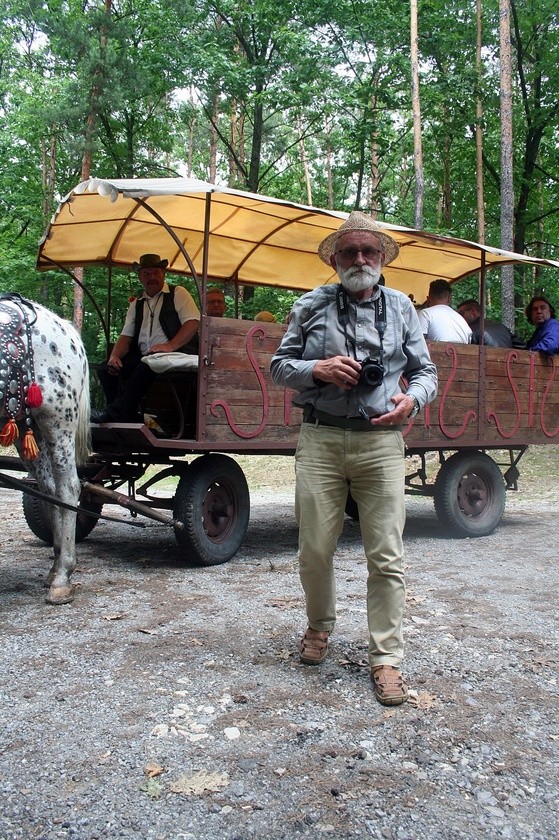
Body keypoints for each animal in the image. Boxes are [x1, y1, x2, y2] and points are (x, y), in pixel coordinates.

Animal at [0, 296, 89, 604]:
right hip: (27, 426)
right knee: (49, 489)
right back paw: (55, 565)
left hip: (58, 420)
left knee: (68, 487)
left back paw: (63, 575)